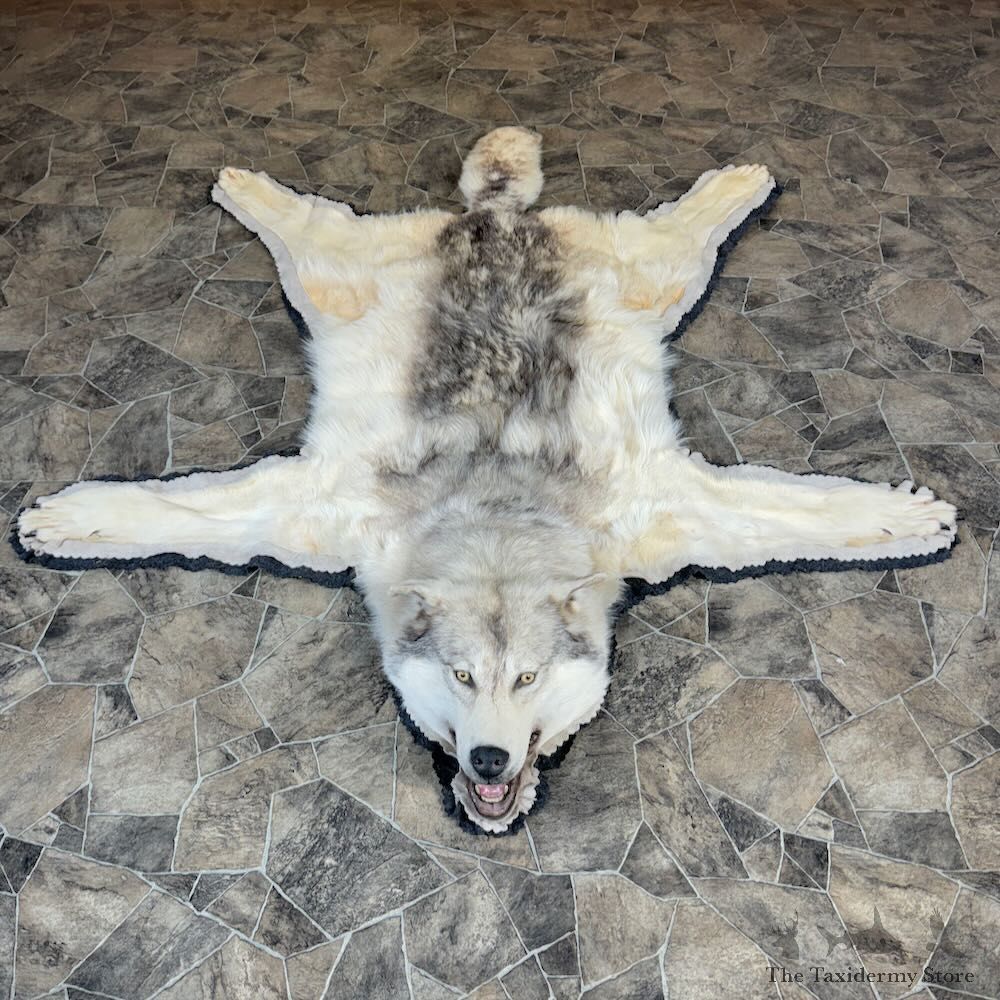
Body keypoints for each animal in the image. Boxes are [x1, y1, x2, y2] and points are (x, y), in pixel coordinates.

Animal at [17, 127, 956, 832]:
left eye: (527, 680)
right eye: (463, 679)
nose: (490, 760)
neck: (499, 518)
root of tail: (496, 219)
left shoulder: (667, 513)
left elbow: (803, 512)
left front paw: (915, 520)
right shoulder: (318, 512)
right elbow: (164, 510)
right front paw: (68, 520)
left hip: (655, 284)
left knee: (681, 230)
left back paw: (737, 183)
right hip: (334, 283)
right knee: (307, 222)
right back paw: (248, 188)